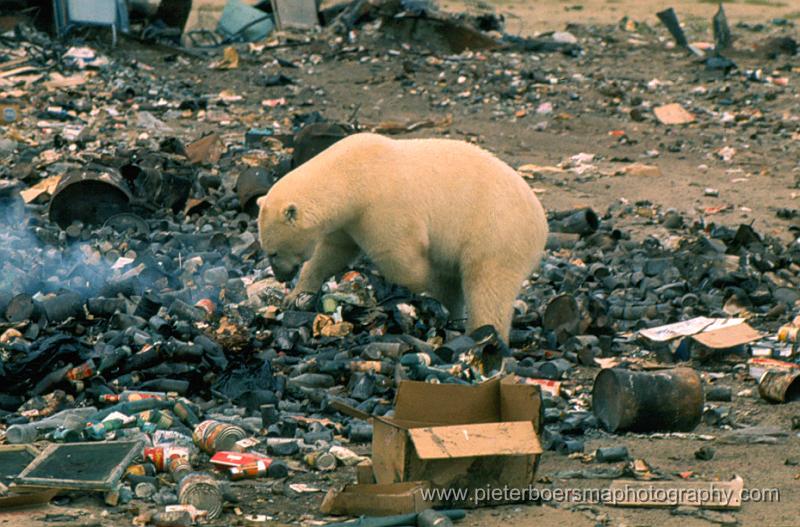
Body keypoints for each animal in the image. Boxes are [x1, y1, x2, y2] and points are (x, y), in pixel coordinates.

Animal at [260, 132, 548, 342]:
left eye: (273, 252)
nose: (281, 276)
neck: (353, 174)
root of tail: (542, 223)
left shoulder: (382, 207)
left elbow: (401, 260)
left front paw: (425, 287)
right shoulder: (351, 220)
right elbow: (332, 252)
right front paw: (294, 295)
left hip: (496, 233)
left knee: (487, 287)